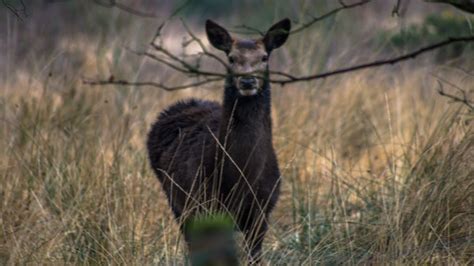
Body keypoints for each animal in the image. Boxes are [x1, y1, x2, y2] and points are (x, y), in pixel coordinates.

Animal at [146, 18, 290, 264]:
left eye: (264, 57)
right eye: (231, 57)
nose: (248, 80)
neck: (240, 177)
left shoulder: (263, 209)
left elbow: (254, 256)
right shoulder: (205, 205)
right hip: (176, 200)